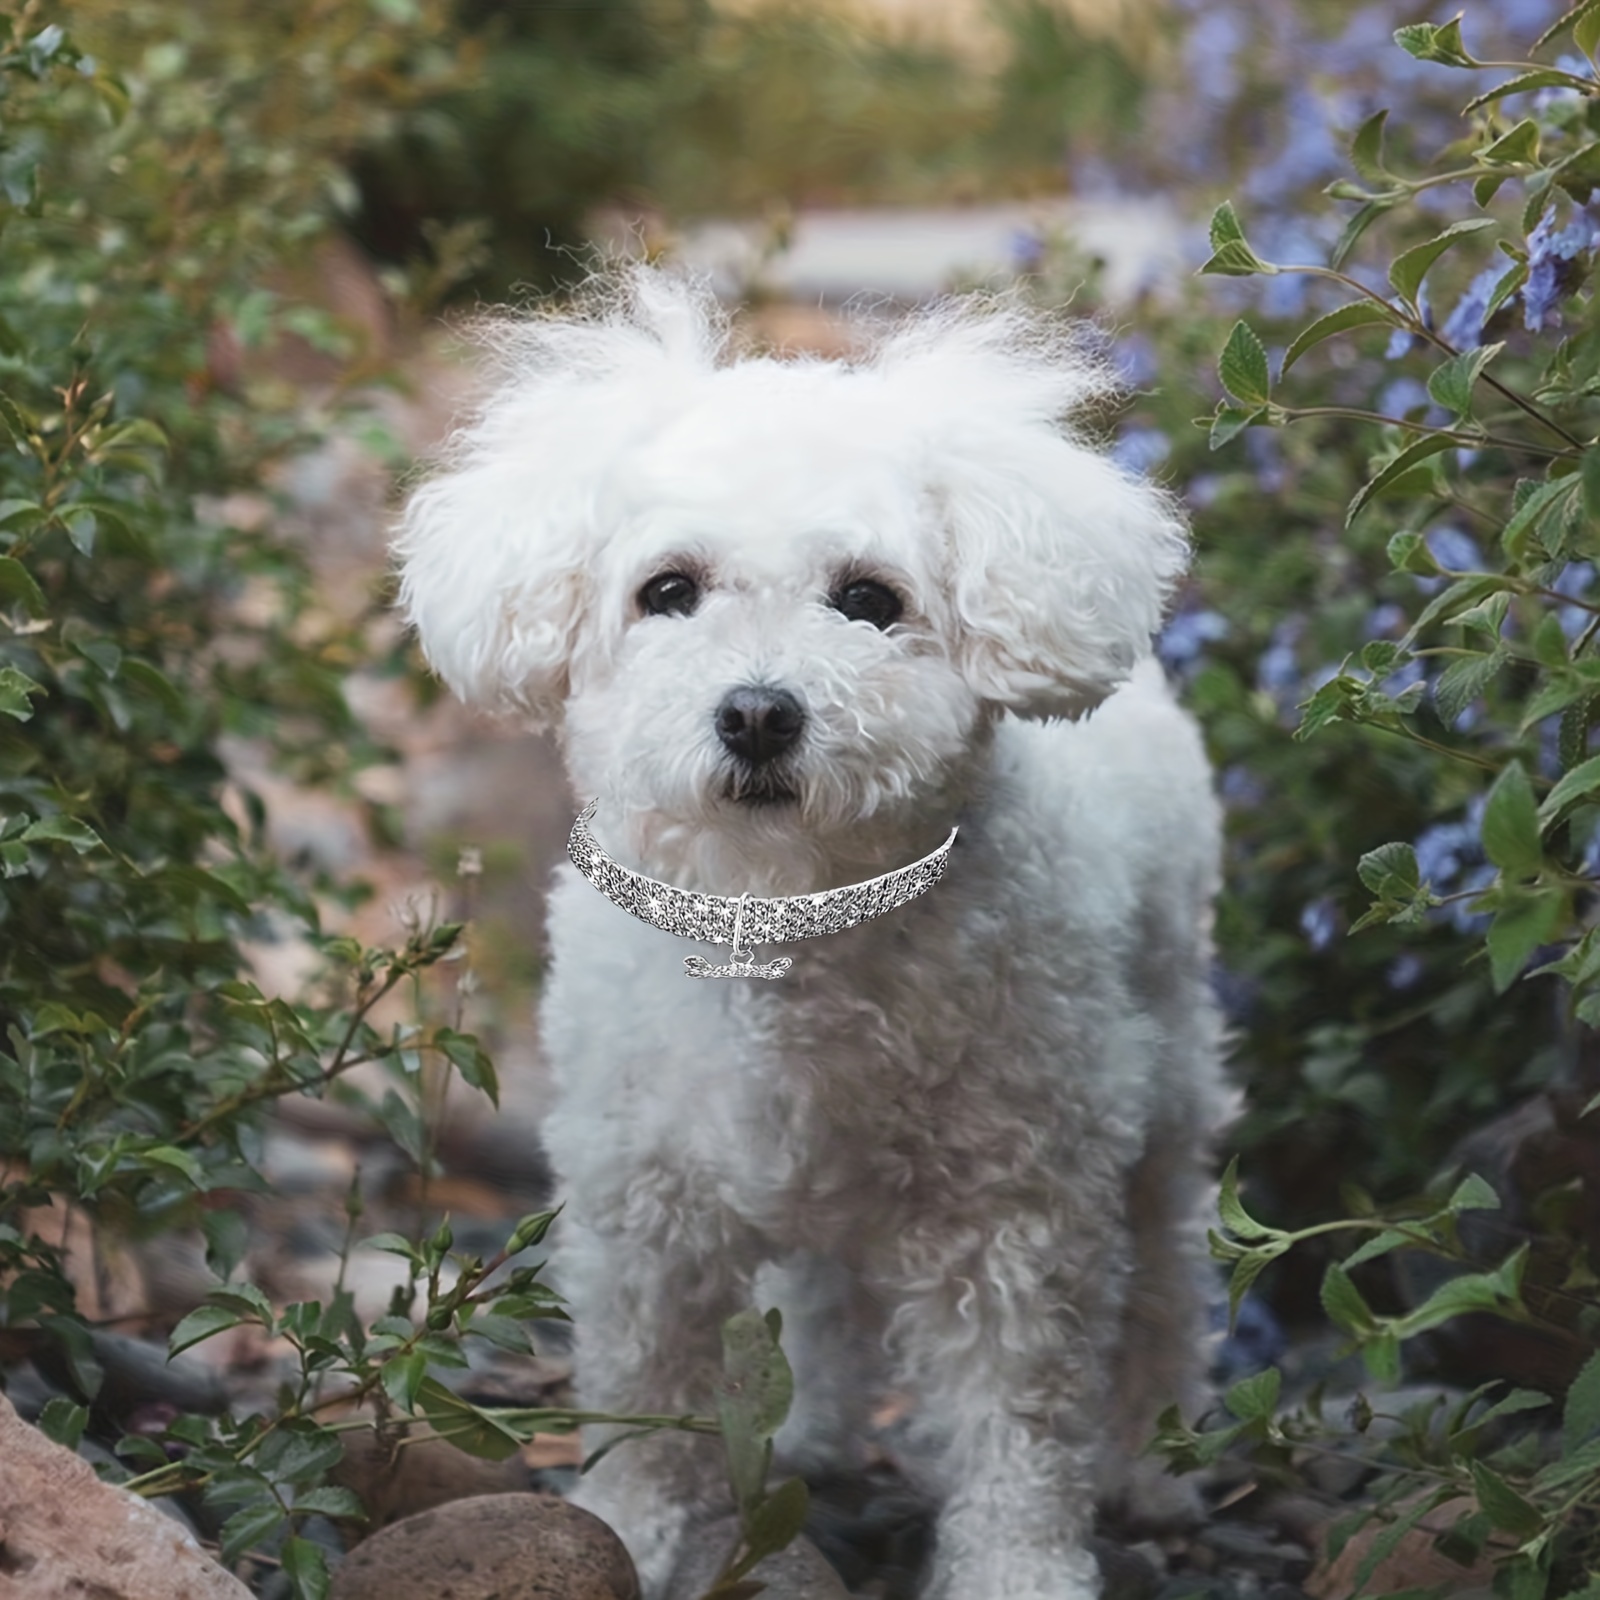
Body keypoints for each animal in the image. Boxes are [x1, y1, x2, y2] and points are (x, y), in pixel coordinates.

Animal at [396, 268, 1222, 1593]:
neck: (785, 914)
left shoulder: (1017, 1208)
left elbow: (1018, 1417)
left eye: (869, 601)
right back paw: (812, 1434)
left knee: (1163, 1277)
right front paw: (630, 1531)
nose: (756, 713)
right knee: (818, 1288)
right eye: (667, 590)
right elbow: (646, 1384)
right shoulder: (644, 1197)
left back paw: (1151, 1459)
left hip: (1168, 1060)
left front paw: (1020, 1568)